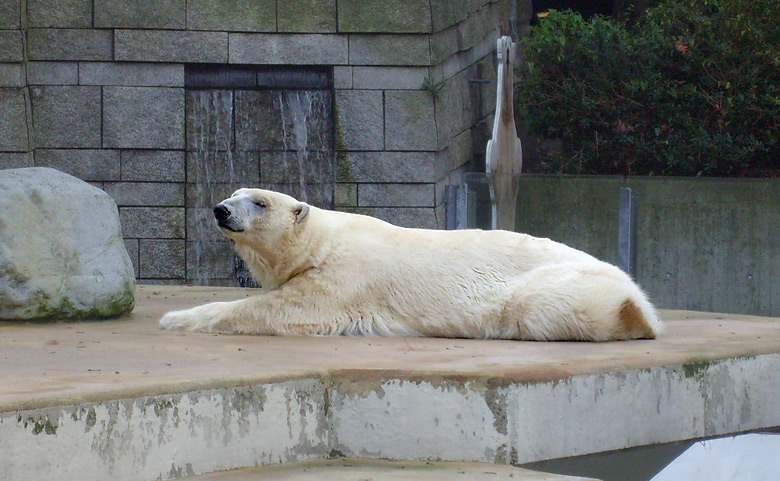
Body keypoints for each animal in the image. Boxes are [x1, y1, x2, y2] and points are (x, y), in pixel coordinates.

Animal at [161, 186, 660, 340]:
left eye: (260, 202)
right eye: (234, 192)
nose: (221, 210)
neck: (322, 242)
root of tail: (638, 294)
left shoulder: (342, 278)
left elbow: (284, 309)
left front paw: (174, 317)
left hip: (557, 284)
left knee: (540, 306)